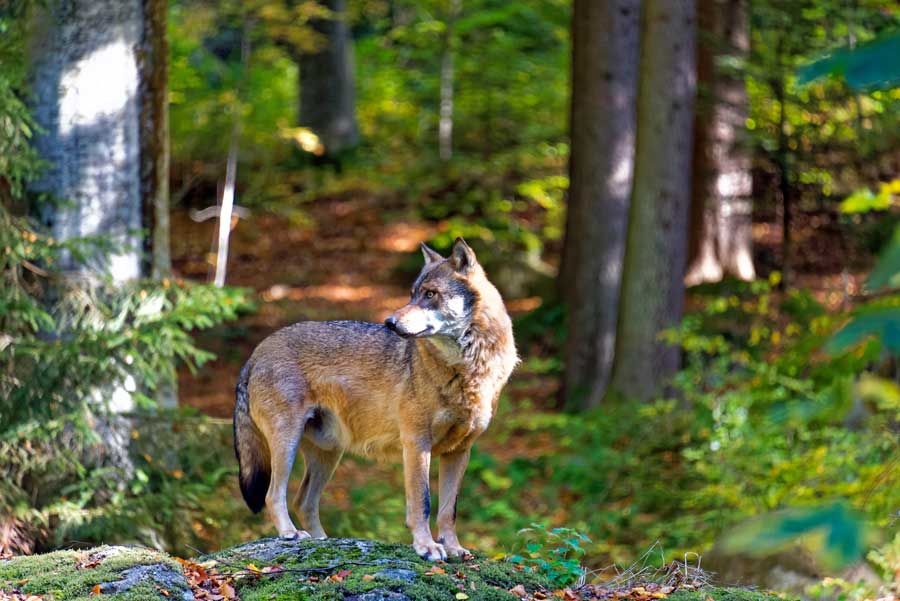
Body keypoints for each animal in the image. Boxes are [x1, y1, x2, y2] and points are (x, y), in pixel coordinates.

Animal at [232, 237, 516, 560]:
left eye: (430, 294)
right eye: (412, 294)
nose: (389, 322)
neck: (468, 367)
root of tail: (256, 352)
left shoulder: (460, 451)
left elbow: (448, 510)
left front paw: (453, 547)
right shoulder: (416, 443)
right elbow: (422, 503)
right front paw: (427, 547)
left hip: (328, 453)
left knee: (303, 500)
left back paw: (324, 542)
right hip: (287, 442)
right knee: (273, 495)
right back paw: (291, 534)